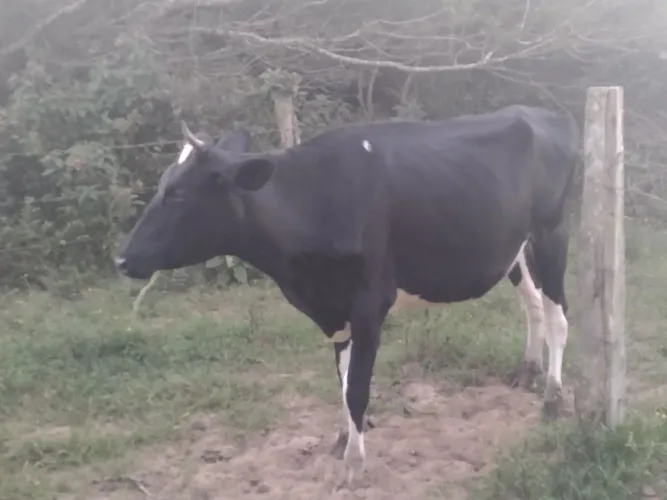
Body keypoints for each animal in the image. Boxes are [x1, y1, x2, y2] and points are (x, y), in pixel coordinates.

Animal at [115, 105, 580, 485]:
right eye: (163, 185)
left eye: (178, 194)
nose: (121, 259)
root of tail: (542, 114)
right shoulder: (331, 309)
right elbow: (341, 379)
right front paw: (342, 441)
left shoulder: (370, 302)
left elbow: (356, 386)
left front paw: (355, 467)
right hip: (514, 248)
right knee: (534, 304)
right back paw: (527, 371)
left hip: (551, 233)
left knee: (559, 316)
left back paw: (552, 398)